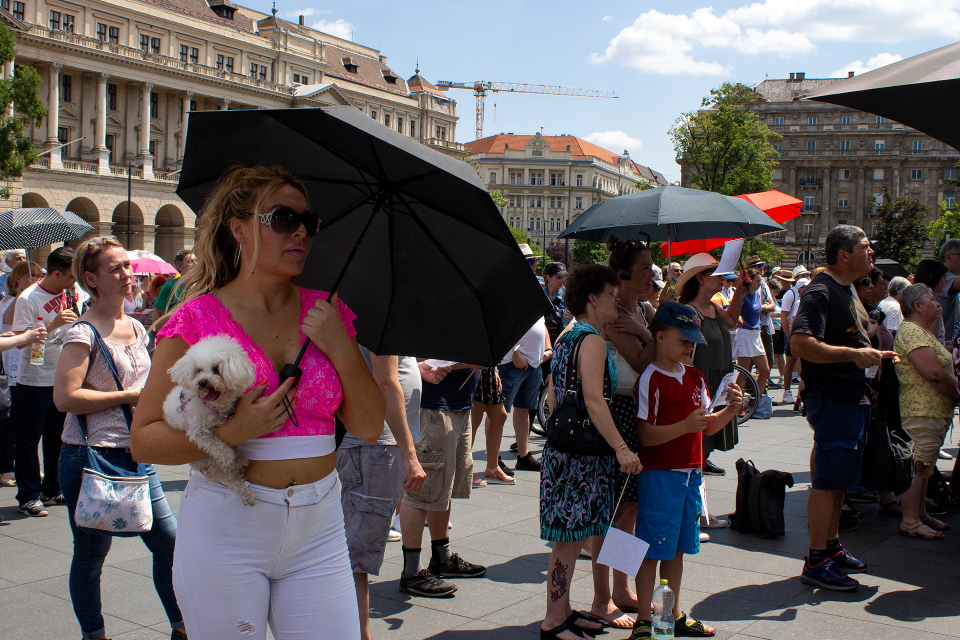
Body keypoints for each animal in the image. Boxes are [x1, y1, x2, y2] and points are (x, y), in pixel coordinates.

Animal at [163, 335, 257, 506]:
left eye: (216, 369)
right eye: (198, 370)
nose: (202, 382)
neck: (214, 406)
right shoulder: (198, 431)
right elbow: (216, 444)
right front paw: (228, 455)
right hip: (206, 461)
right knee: (226, 477)